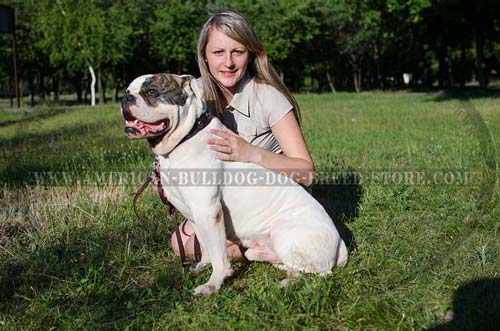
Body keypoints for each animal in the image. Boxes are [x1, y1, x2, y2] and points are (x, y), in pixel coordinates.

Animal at [121, 73, 348, 296]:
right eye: (128, 91)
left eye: (152, 92)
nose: (126, 98)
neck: (186, 136)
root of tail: (341, 246)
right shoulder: (194, 213)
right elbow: (204, 245)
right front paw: (202, 265)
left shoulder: (208, 211)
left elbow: (219, 255)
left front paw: (213, 285)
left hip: (285, 235)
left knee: (320, 274)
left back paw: (288, 284)